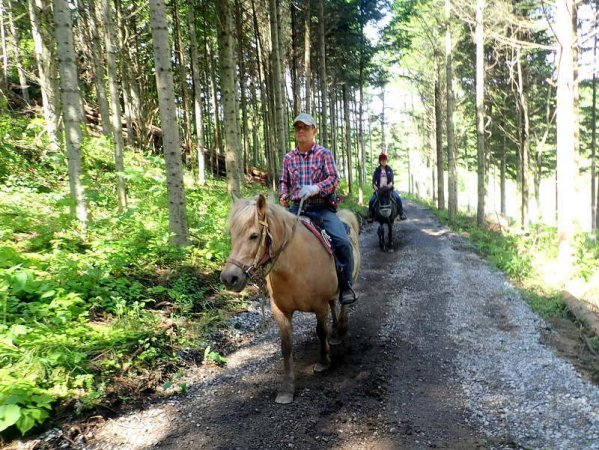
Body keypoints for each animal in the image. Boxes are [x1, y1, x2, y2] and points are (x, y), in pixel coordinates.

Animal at [220, 193, 360, 404]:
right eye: (231, 234)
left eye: (254, 235)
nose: (229, 278)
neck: (294, 267)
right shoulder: (281, 311)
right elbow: (286, 347)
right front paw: (286, 389)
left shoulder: (319, 306)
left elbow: (321, 332)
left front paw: (323, 361)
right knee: (334, 304)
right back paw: (336, 332)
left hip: (351, 279)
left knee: (344, 304)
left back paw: (340, 331)